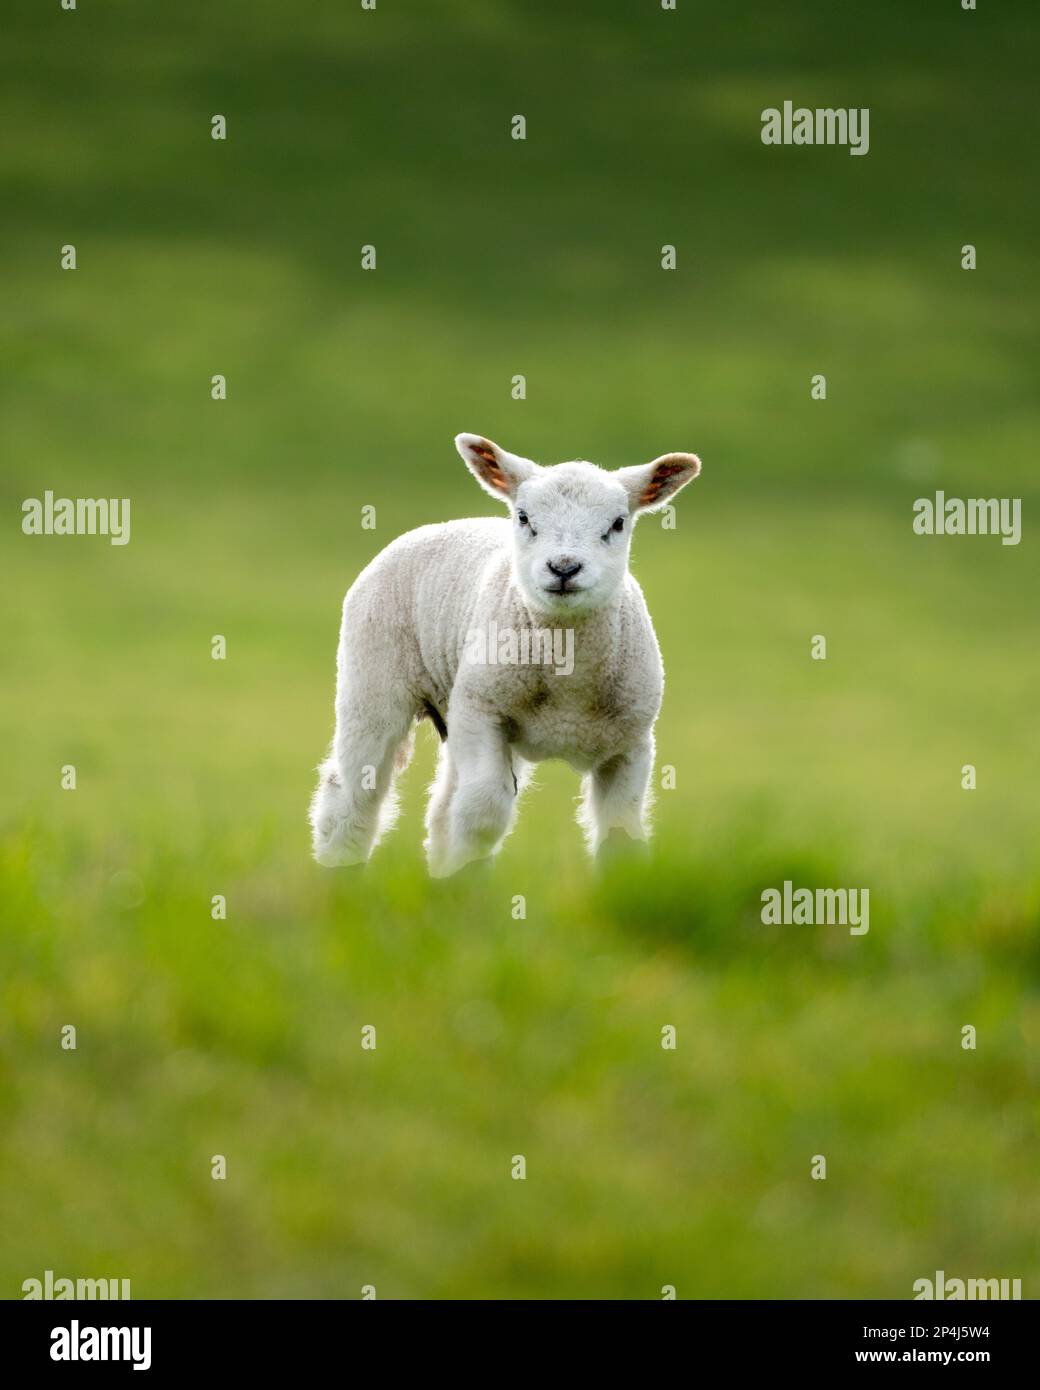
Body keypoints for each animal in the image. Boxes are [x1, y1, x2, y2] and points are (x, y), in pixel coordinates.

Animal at [309, 434, 701, 877]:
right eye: (524, 517)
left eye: (618, 523)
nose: (564, 567)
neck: (569, 682)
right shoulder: (484, 711)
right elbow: (482, 813)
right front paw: (467, 883)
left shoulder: (631, 743)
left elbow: (622, 836)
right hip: (374, 680)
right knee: (352, 794)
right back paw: (342, 875)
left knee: (442, 808)